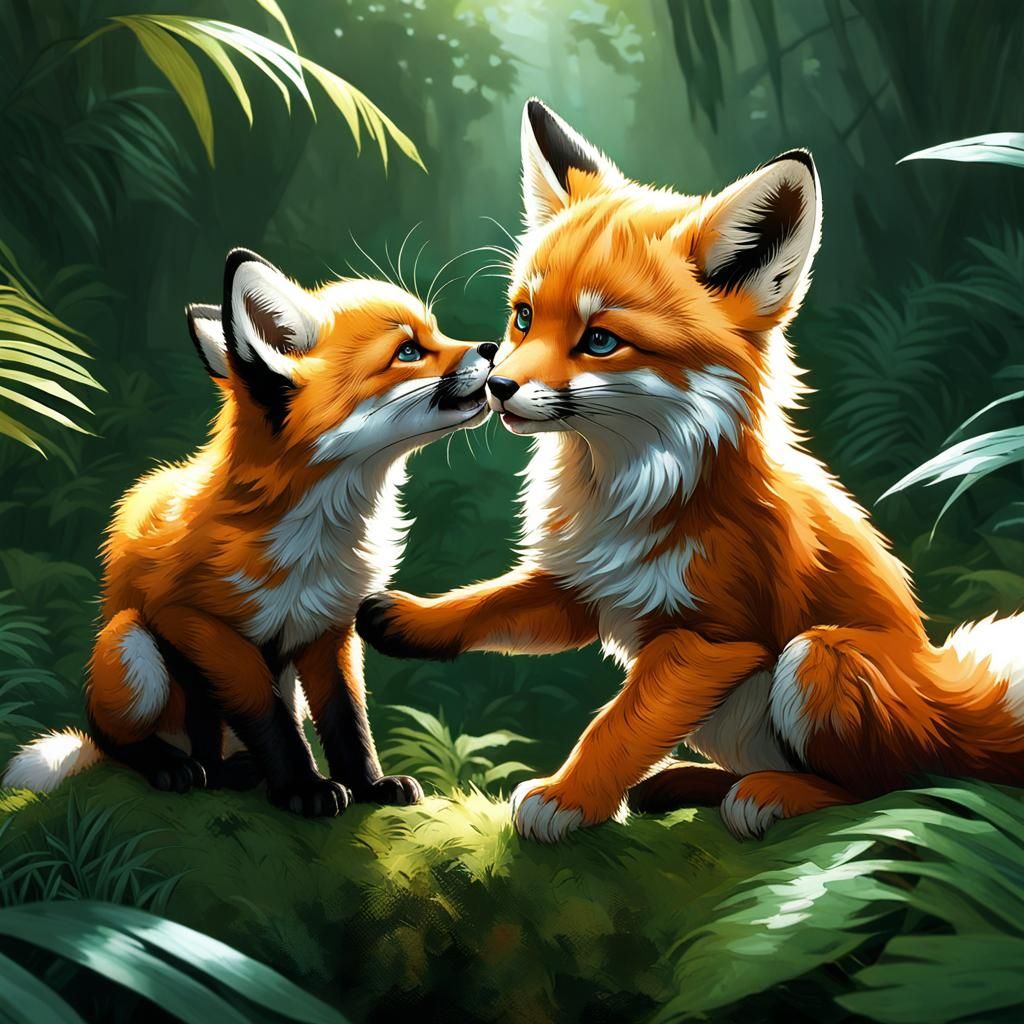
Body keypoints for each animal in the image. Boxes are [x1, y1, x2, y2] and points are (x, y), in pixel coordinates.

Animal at [4, 247, 495, 817]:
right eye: (409, 351)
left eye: (436, 333)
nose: (493, 346)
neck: (317, 532)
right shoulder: (200, 623)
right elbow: (268, 718)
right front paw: (304, 788)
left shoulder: (330, 627)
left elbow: (347, 718)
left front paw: (369, 784)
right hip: (132, 645)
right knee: (115, 737)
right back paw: (174, 766)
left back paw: (231, 771)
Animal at [356, 99, 1024, 841]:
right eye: (524, 317)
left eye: (600, 340)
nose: (496, 387)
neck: (626, 490)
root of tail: (954, 702)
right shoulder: (584, 589)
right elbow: (490, 604)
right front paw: (413, 618)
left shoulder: (710, 639)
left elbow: (618, 727)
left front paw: (567, 797)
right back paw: (687, 783)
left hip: (818, 661)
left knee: (882, 788)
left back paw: (772, 796)